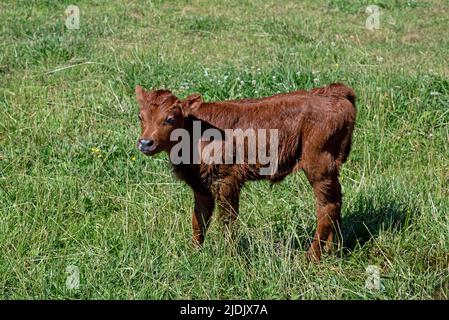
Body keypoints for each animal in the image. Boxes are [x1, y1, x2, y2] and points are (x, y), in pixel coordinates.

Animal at [135, 82, 356, 260]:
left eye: (170, 119)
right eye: (140, 117)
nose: (145, 143)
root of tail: (334, 92)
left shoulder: (227, 181)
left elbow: (227, 222)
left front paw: (230, 257)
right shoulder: (201, 186)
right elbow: (199, 221)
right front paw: (193, 254)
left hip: (319, 165)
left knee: (326, 207)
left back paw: (311, 257)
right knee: (336, 203)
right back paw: (333, 250)